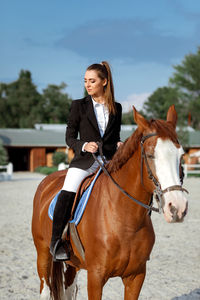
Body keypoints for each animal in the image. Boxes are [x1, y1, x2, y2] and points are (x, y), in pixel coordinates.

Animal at [32, 105, 188, 300]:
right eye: (151, 155)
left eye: (181, 155)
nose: (177, 207)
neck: (125, 220)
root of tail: (48, 180)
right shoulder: (96, 276)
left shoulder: (136, 276)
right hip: (43, 252)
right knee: (45, 289)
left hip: (73, 264)